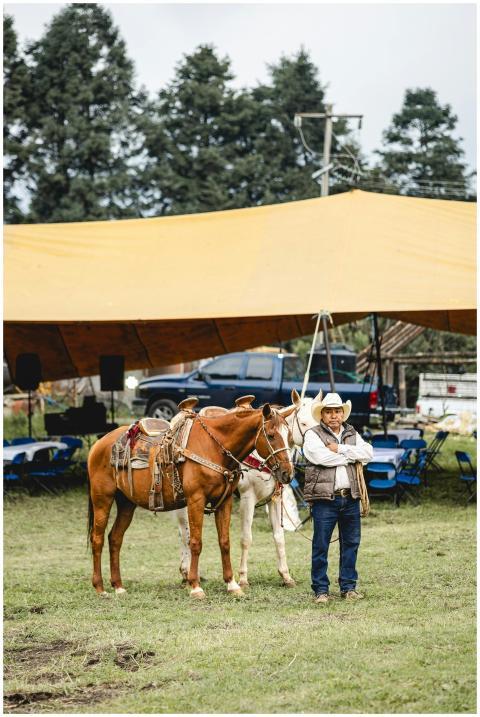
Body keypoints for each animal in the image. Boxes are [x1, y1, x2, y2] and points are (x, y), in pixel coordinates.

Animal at [87, 398, 295, 599]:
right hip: (102, 498)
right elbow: (195, 542)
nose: (287, 473)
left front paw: (232, 584)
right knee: (97, 538)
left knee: (115, 538)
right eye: (271, 435)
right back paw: (100, 588)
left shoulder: (225, 501)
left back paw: (118, 586)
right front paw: (195, 586)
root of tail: (98, 444)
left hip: (126, 503)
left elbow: (225, 542)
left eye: (289, 436)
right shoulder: (197, 500)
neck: (214, 447)